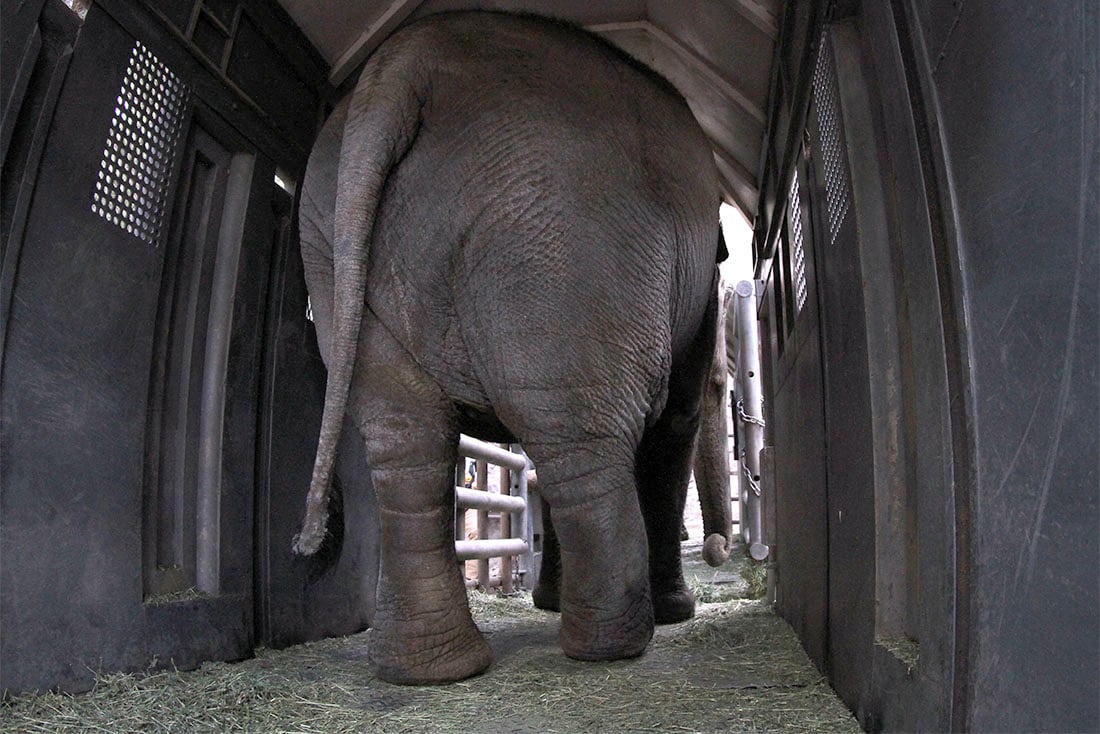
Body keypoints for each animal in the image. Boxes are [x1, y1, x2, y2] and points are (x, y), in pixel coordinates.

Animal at [290, 11, 721, 686]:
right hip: (556, 232)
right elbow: (676, 422)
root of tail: (403, 66)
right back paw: (616, 644)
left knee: (407, 444)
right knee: (581, 438)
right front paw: (679, 612)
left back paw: (433, 669)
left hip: (331, 246)